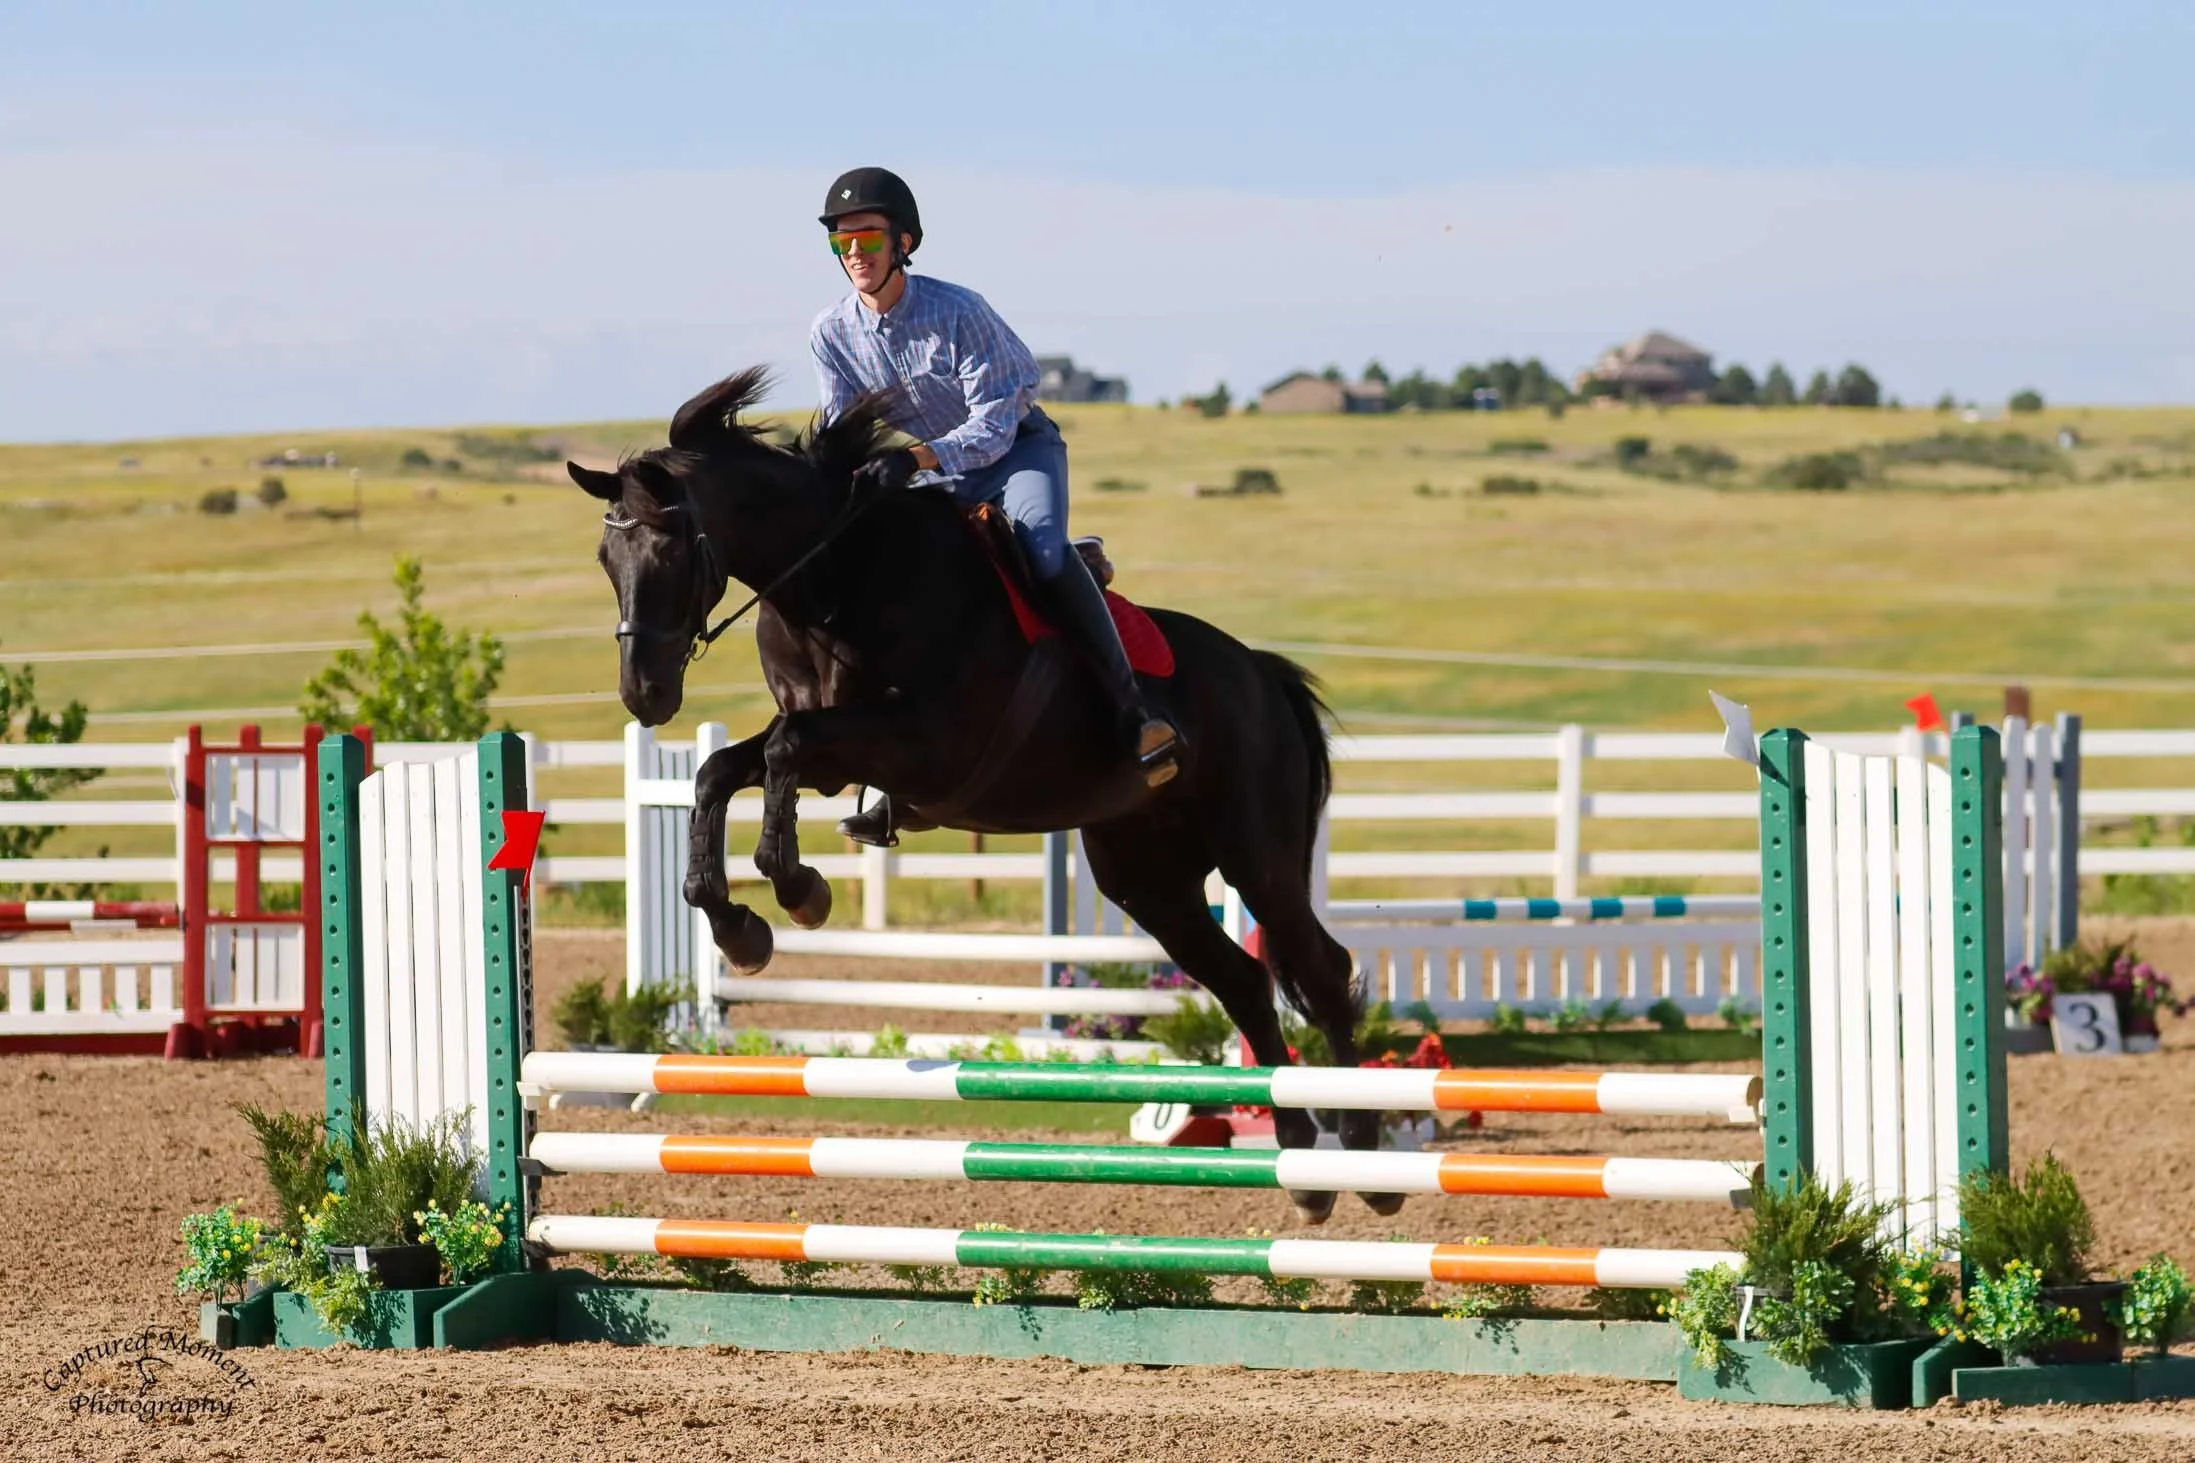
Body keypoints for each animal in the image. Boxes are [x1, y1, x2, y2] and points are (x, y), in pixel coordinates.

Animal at [568, 368, 1396, 1222]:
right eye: (605, 554)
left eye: (670, 550)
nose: (644, 695)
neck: (834, 582)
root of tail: (1262, 673)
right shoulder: (840, 750)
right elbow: (722, 770)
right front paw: (737, 923)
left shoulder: (918, 744)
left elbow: (778, 749)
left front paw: (796, 888)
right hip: (1147, 878)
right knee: (1244, 980)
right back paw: (1302, 1167)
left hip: (1254, 853)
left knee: (1319, 968)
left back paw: (1364, 1158)